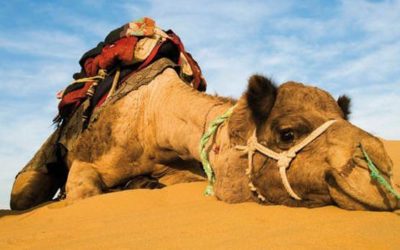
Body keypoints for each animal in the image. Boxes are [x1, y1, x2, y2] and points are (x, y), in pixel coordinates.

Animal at [10, 58, 400, 211]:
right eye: (287, 133)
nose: (378, 166)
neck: (154, 116)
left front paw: (143, 183)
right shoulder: (90, 159)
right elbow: (87, 190)